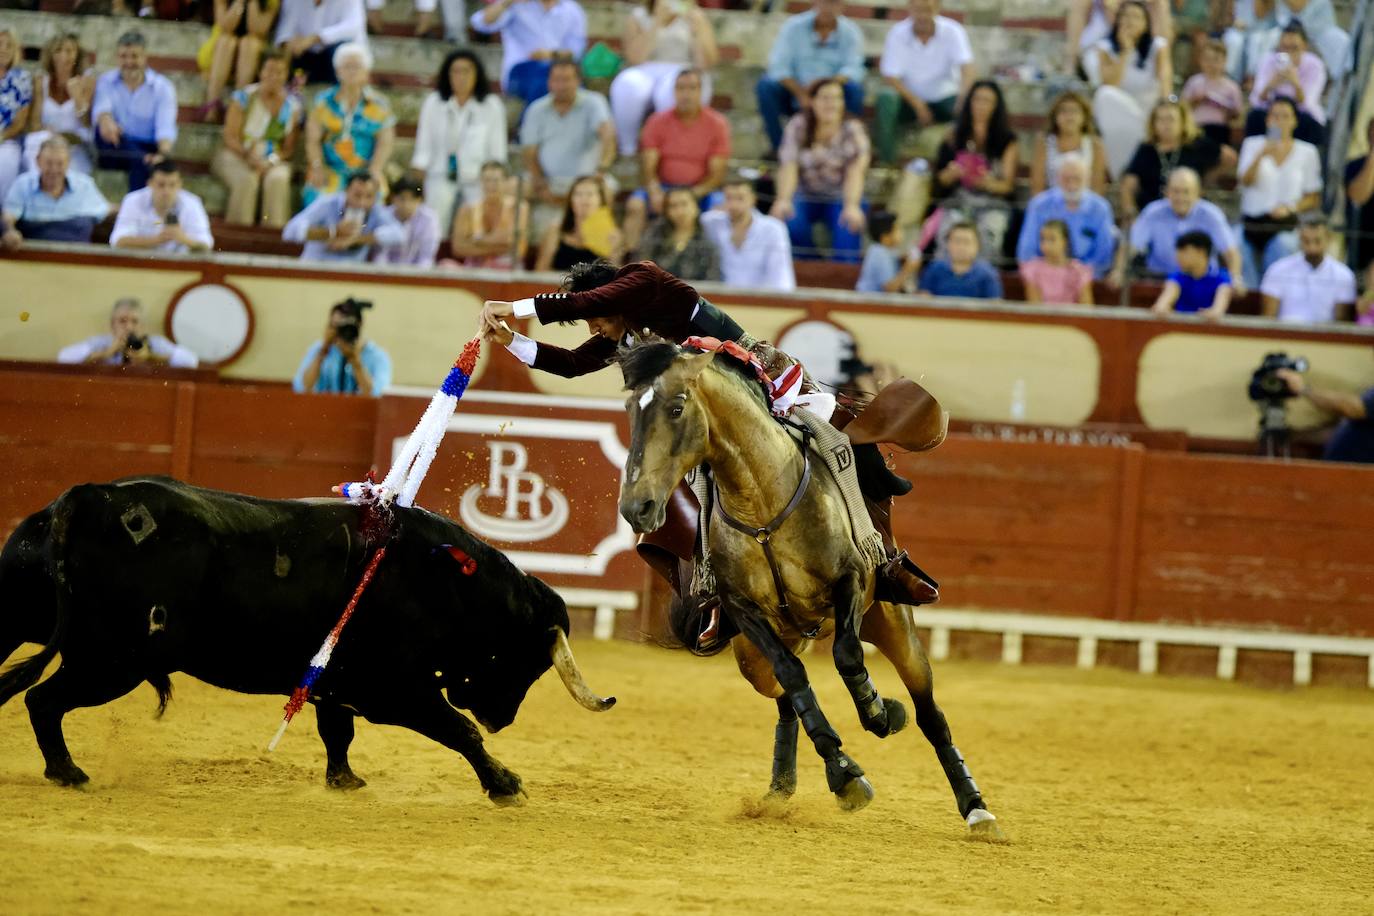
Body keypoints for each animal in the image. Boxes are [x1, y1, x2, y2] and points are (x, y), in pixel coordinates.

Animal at [0, 477, 615, 807]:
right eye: (525, 660)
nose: (502, 718)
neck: (448, 583)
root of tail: (86, 499)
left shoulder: (339, 686)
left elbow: (336, 733)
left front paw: (345, 781)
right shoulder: (396, 690)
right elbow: (457, 730)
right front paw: (506, 784)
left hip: (33, 621)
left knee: (24, 688)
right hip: (113, 660)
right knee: (42, 699)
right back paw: (69, 773)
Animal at [621, 340, 1000, 834]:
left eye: (677, 406)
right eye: (630, 409)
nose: (636, 507)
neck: (762, 502)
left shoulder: (850, 582)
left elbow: (847, 655)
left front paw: (878, 712)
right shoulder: (742, 610)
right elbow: (793, 676)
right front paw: (844, 773)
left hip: (893, 623)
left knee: (930, 713)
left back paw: (974, 805)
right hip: (754, 657)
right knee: (785, 698)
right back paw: (782, 785)